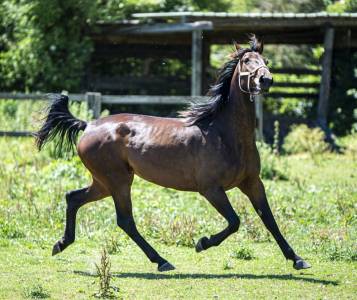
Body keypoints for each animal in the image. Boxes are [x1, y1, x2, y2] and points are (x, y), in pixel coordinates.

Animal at [34, 35, 310, 272]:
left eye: (266, 61)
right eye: (246, 61)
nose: (266, 80)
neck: (226, 135)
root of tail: (88, 125)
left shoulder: (252, 183)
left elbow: (269, 220)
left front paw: (297, 259)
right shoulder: (211, 189)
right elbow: (234, 222)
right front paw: (202, 243)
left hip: (104, 183)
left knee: (73, 198)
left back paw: (61, 244)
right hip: (117, 181)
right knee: (125, 220)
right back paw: (162, 261)